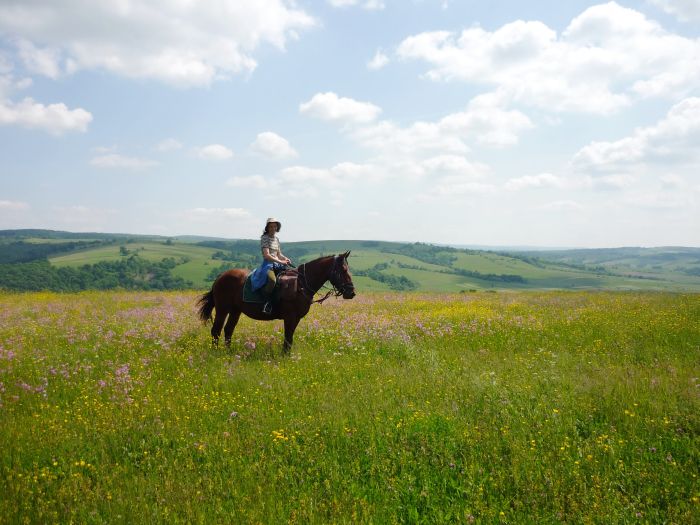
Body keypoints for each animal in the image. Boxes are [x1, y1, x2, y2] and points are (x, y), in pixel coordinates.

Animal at [197, 250, 356, 352]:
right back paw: (216, 353)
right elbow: (287, 338)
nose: (351, 292)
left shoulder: (296, 318)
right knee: (216, 330)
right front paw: (284, 357)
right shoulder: (290, 317)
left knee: (228, 330)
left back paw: (228, 353)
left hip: (236, 310)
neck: (301, 284)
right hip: (222, 309)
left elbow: (289, 338)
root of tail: (220, 276)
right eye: (343, 270)